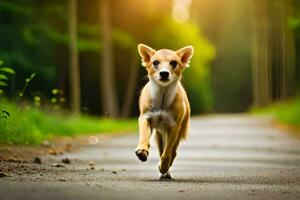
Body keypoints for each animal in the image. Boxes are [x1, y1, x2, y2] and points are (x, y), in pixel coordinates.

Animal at [135, 43, 193, 180]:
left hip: (178, 131)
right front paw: (142, 151)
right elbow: (144, 136)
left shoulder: (174, 126)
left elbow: (167, 152)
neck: (162, 98)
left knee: (173, 152)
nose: (164, 73)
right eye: (155, 62)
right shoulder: (145, 117)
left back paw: (165, 171)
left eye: (174, 63)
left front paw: (163, 167)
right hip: (159, 135)